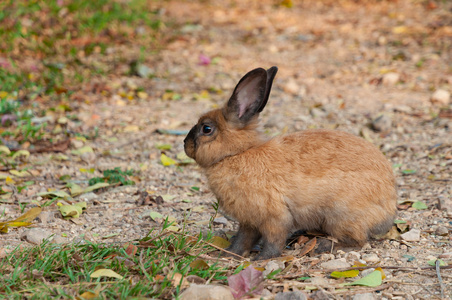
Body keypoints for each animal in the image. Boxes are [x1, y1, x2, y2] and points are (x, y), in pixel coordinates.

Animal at [184, 66, 396, 260]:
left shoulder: (273, 216)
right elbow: (243, 239)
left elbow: (273, 240)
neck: (236, 153)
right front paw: (229, 254)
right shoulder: (249, 221)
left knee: (358, 241)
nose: (185, 144)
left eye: (206, 129)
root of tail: (389, 211)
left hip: (341, 215)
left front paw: (262, 259)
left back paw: (322, 246)